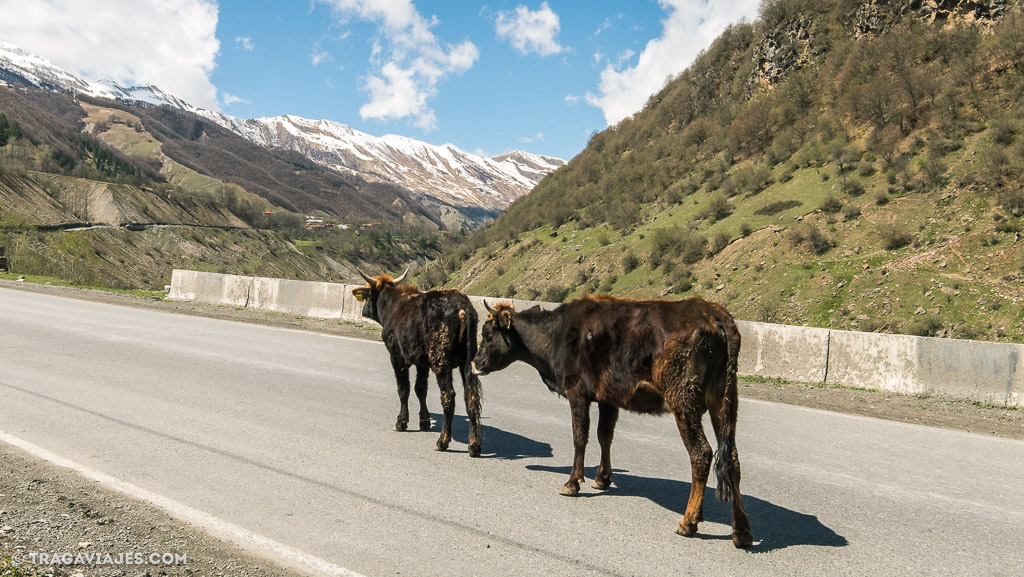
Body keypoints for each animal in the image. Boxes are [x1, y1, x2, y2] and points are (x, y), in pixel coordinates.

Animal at [350, 270, 481, 457]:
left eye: (367, 292)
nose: (363, 311)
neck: (391, 305)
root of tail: (462, 306)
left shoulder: (397, 357)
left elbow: (403, 389)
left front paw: (401, 422)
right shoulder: (422, 362)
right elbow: (421, 389)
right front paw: (424, 420)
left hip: (440, 361)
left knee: (448, 396)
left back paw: (442, 441)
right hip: (467, 362)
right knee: (471, 397)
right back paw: (474, 444)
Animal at [471, 295, 753, 549]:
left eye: (487, 334)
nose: (474, 363)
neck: (556, 335)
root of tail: (712, 312)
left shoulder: (577, 391)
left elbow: (580, 437)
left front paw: (573, 482)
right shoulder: (608, 398)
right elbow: (604, 435)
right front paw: (602, 477)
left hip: (683, 398)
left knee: (701, 453)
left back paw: (688, 521)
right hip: (723, 400)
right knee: (732, 457)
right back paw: (741, 531)